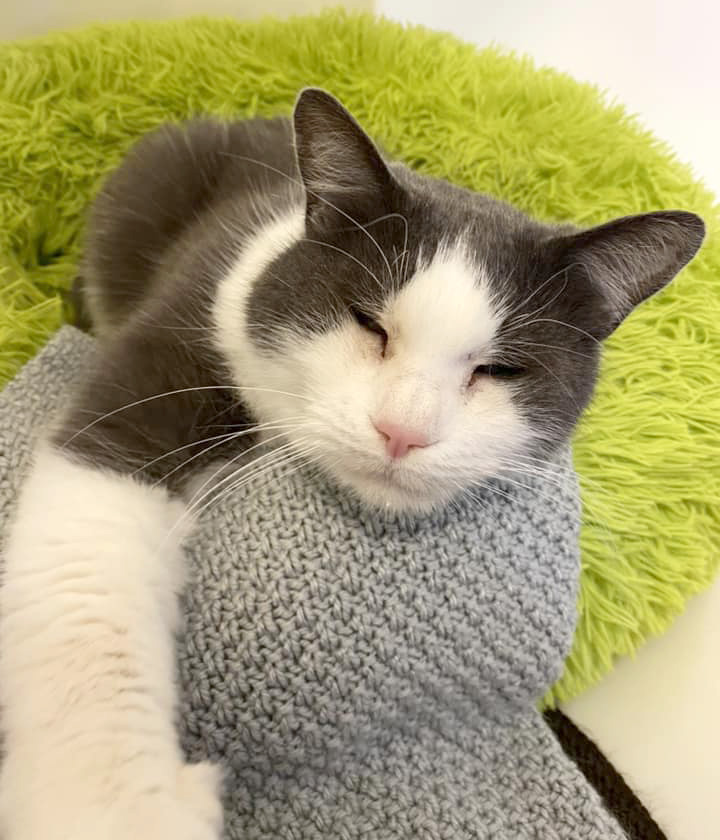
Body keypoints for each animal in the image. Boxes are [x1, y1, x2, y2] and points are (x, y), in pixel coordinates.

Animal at [0, 88, 704, 836]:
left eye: (501, 369)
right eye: (368, 322)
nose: (402, 431)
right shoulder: (190, 323)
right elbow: (88, 551)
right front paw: (113, 806)